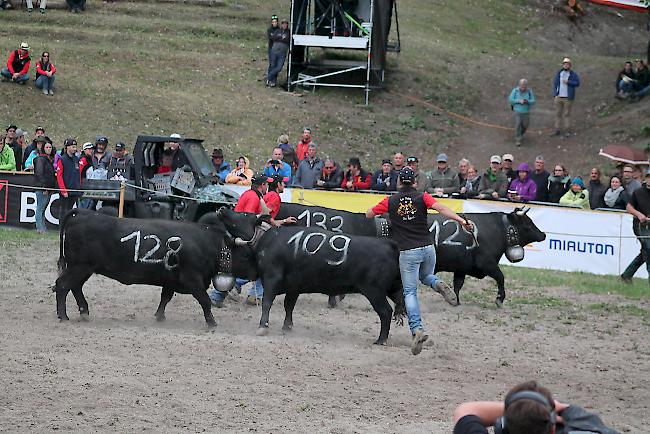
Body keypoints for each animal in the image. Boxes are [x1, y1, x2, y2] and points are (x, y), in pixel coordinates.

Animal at [52, 209, 235, 326]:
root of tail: (82, 213)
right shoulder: (192, 279)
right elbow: (204, 299)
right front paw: (212, 322)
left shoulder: (170, 280)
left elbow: (165, 297)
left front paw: (159, 317)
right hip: (79, 267)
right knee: (62, 285)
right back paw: (63, 316)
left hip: (83, 268)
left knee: (75, 287)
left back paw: (84, 313)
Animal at [274, 203, 540, 306]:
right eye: (527, 223)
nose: (542, 234)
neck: (495, 229)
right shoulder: (487, 263)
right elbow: (501, 277)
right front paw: (499, 299)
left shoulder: (462, 268)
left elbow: (458, 284)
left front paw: (454, 298)